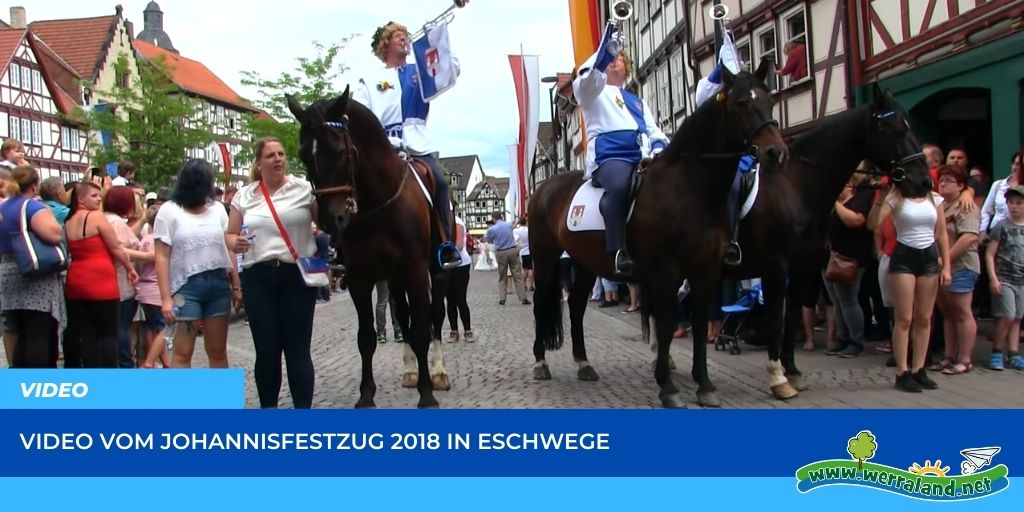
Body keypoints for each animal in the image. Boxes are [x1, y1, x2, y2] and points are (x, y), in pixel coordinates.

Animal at [286, 88, 450, 407]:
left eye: (341, 151)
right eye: (303, 155)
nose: (329, 219)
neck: (379, 204)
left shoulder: (415, 271)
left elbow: (422, 331)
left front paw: (427, 394)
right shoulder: (360, 279)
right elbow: (366, 338)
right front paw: (366, 395)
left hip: (433, 273)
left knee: (434, 318)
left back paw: (438, 372)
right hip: (395, 280)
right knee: (404, 318)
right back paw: (410, 370)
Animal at [532, 61, 786, 407]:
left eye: (769, 99)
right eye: (741, 103)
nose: (777, 153)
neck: (689, 189)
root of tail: (542, 188)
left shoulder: (705, 270)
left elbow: (698, 322)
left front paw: (704, 385)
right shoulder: (666, 271)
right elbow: (665, 326)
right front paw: (667, 387)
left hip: (584, 264)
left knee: (577, 307)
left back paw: (584, 364)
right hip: (544, 260)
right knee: (539, 303)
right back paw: (540, 363)